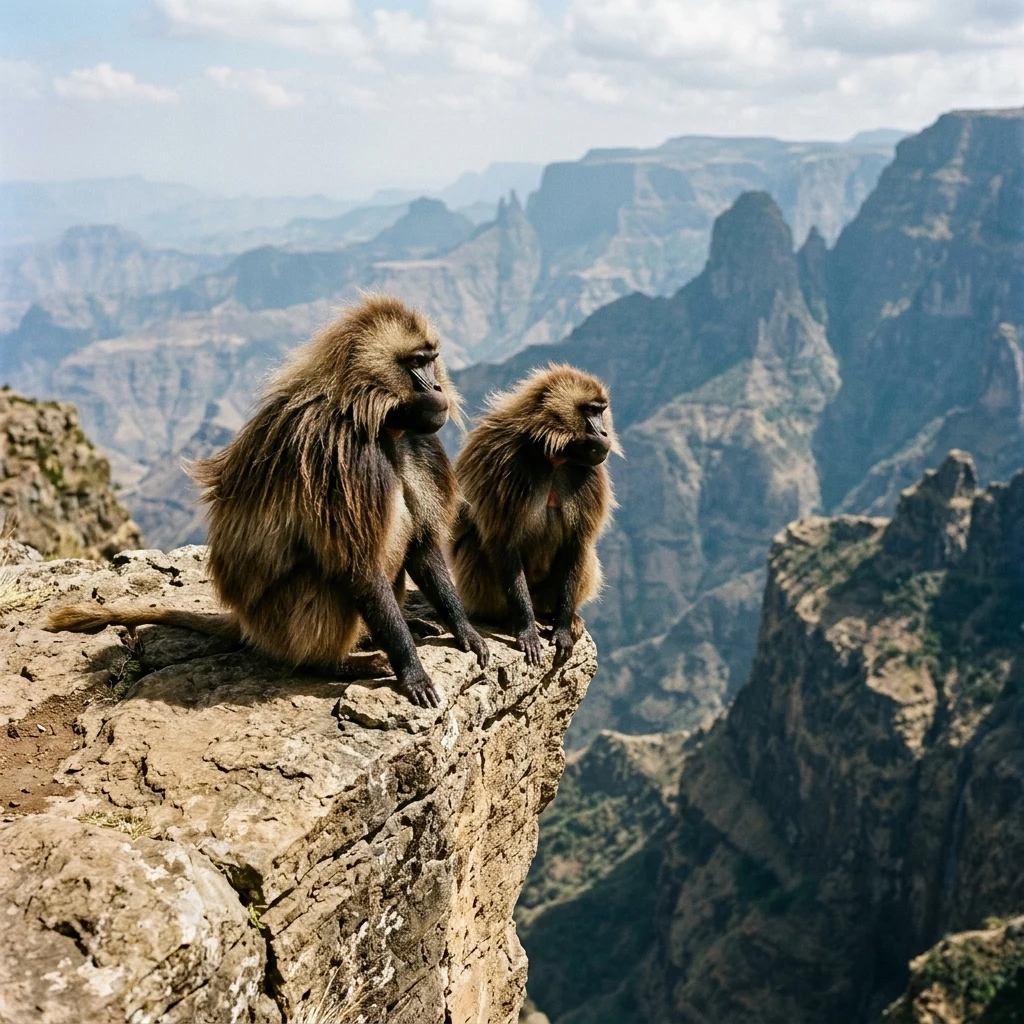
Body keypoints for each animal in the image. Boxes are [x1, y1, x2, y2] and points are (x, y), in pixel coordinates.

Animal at [47, 294, 488, 708]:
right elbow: (359, 566)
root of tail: (247, 622)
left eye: (432, 360)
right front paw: (412, 670)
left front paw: (465, 631)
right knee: (334, 574)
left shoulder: (418, 442)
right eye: (416, 362)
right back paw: (342, 662)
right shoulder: (340, 455)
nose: (437, 389)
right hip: (280, 623)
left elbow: (422, 546)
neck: (378, 421)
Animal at [450, 364, 620, 667]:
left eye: (601, 410)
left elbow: (577, 545)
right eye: (590, 411)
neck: (551, 453)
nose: (603, 433)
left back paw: (565, 618)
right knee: (473, 546)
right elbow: (503, 543)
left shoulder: (589, 476)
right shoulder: (501, 462)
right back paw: (508, 619)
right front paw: (526, 629)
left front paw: (562, 629)